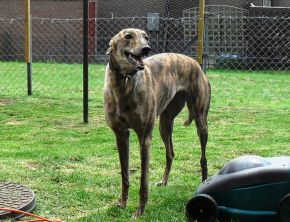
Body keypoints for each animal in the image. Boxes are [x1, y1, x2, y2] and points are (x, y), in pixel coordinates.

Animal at [104, 28, 211, 217]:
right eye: (128, 36)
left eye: (146, 37)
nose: (147, 49)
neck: (124, 81)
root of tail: (195, 63)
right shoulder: (121, 135)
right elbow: (124, 174)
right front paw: (122, 203)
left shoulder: (144, 137)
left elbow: (143, 180)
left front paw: (140, 211)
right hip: (164, 124)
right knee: (170, 154)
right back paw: (164, 181)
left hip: (201, 122)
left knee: (203, 158)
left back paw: (204, 183)